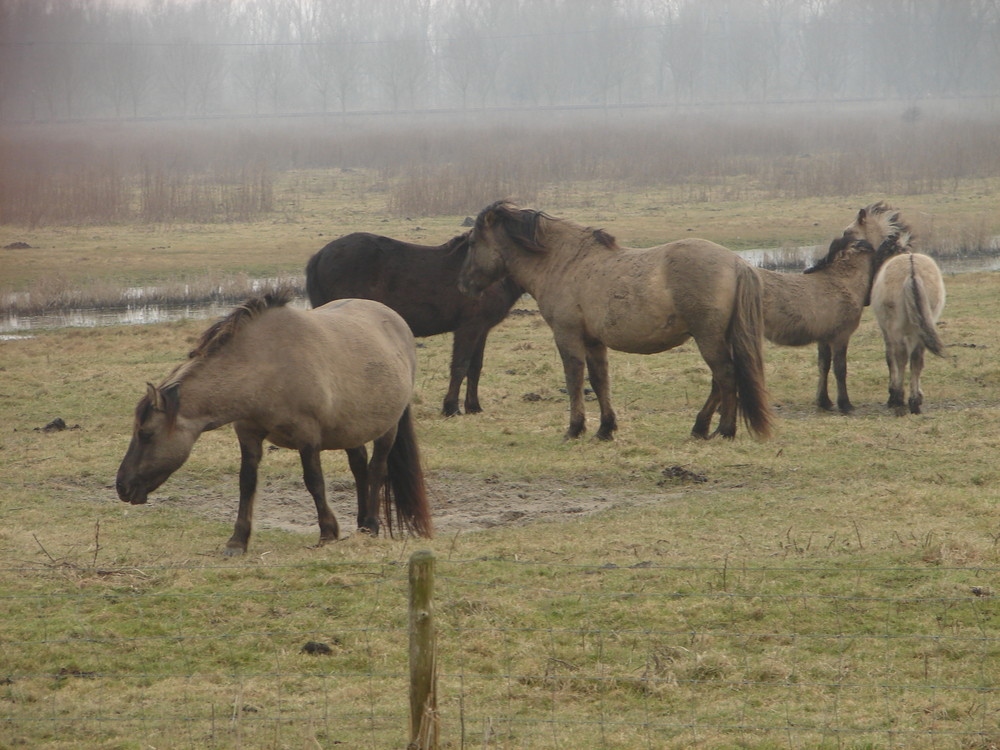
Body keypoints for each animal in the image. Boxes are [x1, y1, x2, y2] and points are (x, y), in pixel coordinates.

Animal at [115, 290, 432, 556]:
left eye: (146, 434)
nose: (122, 487)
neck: (265, 365)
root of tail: (397, 322)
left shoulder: (308, 437)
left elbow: (314, 482)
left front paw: (327, 532)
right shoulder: (248, 434)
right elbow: (246, 483)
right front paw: (237, 541)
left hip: (387, 428)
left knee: (377, 469)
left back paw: (371, 525)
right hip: (351, 429)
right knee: (359, 469)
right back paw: (361, 523)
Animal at [304, 232, 524, 418]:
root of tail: (320, 256)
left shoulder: (482, 329)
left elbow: (475, 367)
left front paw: (474, 407)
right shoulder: (469, 328)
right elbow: (461, 365)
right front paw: (451, 408)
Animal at [458, 203, 776, 444]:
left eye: (472, 243)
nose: (464, 285)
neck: (565, 263)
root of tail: (737, 263)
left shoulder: (567, 335)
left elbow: (574, 379)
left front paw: (574, 429)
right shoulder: (593, 341)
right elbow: (600, 381)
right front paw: (605, 429)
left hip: (708, 337)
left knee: (725, 376)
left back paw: (724, 430)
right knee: (718, 381)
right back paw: (700, 428)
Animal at [756, 203, 916, 414]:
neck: (841, 280)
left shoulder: (824, 338)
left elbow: (823, 366)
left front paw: (824, 401)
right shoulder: (841, 336)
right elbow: (840, 369)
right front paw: (845, 403)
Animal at [876, 253, 944, 418]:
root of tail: (912, 270)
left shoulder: (887, 333)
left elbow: (890, 359)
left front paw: (892, 393)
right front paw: (919, 393)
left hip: (896, 330)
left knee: (901, 358)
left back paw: (899, 399)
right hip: (921, 328)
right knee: (917, 359)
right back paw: (914, 402)